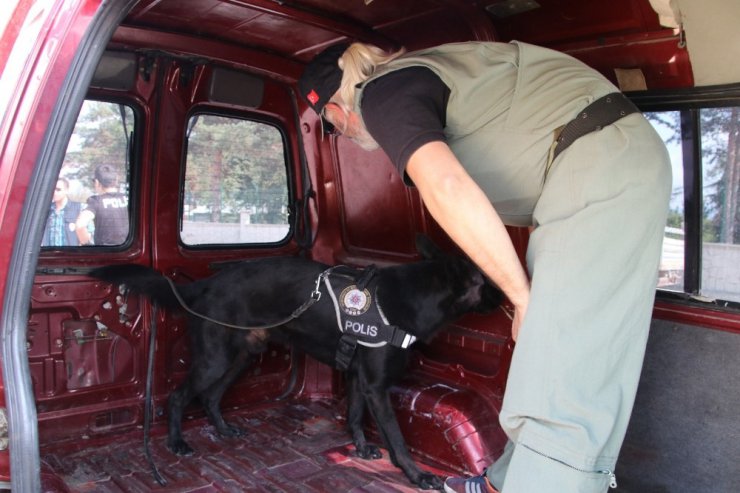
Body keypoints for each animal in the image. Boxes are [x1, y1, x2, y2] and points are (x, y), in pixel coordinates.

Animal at [89, 235, 500, 488]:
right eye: (486, 281)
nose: (504, 299)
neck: (411, 296)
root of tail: (204, 285)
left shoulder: (357, 377)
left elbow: (354, 415)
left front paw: (361, 448)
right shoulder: (376, 386)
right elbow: (396, 438)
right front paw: (415, 475)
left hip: (241, 356)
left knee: (211, 397)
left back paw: (223, 429)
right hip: (215, 358)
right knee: (178, 397)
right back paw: (177, 442)